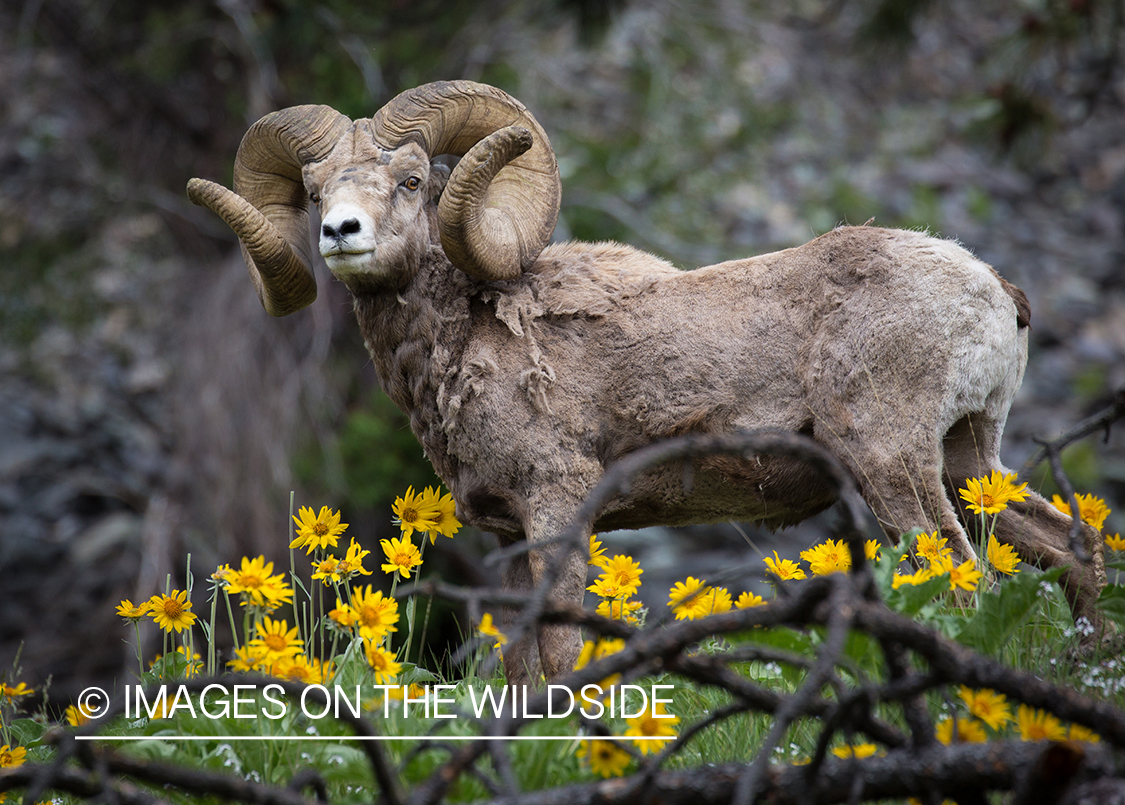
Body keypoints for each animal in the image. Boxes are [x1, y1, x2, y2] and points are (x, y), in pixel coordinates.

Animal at [187, 79, 1107, 684]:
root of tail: (992, 288)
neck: (467, 337)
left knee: (962, 575)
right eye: (315, 192)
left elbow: (559, 651)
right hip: (967, 462)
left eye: (411, 181)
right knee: (1065, 544)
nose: (342, 233)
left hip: (891, 463)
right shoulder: (505, 533)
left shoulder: (558, 506)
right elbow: (519, 660)